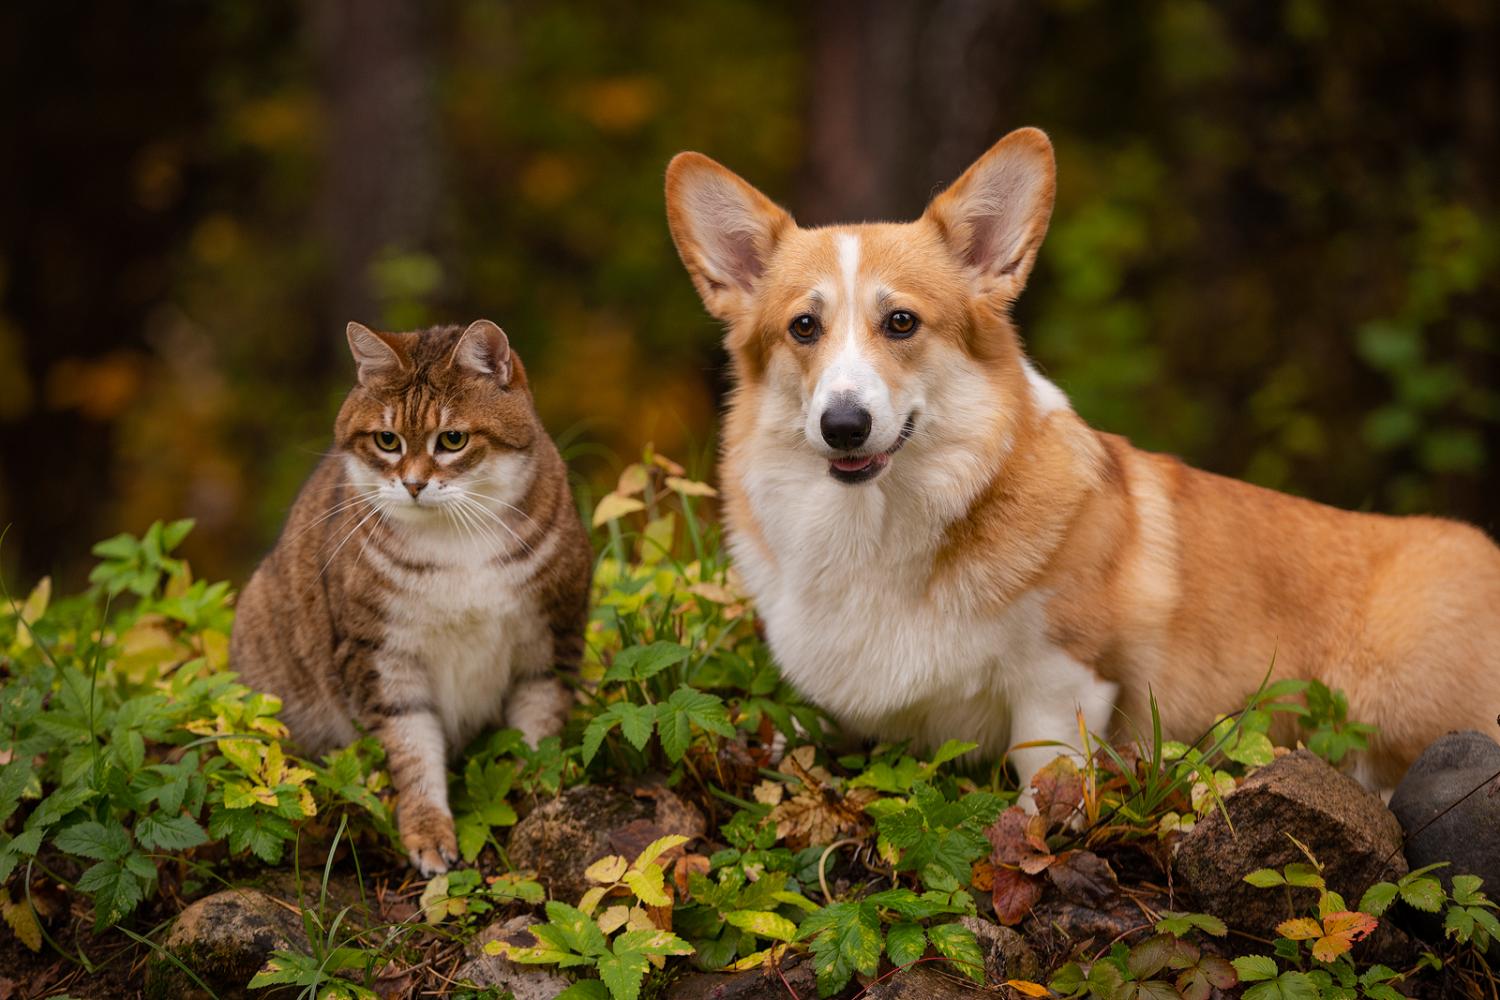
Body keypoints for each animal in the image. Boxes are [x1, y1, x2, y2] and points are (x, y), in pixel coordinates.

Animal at [228, 316, 591, 869]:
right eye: (387, 440)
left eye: (453, 439)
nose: (414, 484)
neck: (457, 540)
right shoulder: (380, 655)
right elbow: (412, 749)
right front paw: (427, 830)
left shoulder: (553, 632)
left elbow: (538, 729)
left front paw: (526, 792)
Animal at [663, 127, 1500, 797]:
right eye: (803, 327)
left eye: (900, 322)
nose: (843, 426)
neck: (878, 529)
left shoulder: (1062, 684)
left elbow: (1045, 784)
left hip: (1397, 702)